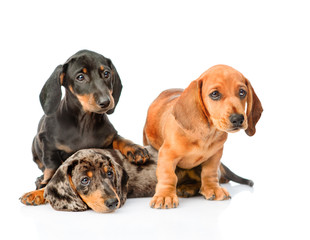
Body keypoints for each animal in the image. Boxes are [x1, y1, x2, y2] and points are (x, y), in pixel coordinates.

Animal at [20, 49, 149, 205]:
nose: (106, 102)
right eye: (80, 77)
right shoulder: (49, 146)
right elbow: (53, 172)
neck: (85, 123)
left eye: (106, 73)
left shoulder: (109, 137)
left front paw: (136, 149)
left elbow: (120, 139)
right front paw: (37, 193)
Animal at [143, 64, 262, 209]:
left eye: (242, 92)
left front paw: (213, 188)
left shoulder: (215, 155)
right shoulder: (167, 154)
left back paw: (188, 188)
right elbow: (168, 176)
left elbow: (209, 172)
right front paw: (166, 196)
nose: (238, 119)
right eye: (215, 94)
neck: (207, 135)